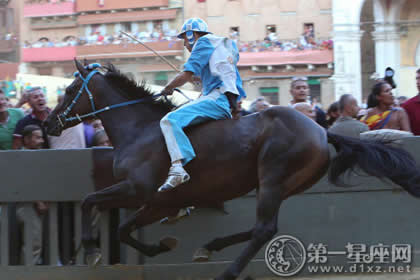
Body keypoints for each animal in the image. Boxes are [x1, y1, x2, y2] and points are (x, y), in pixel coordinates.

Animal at [45, 60, 420, 278]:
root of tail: (321, 129)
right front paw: (161, 246)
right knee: (261, 228)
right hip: (280, 185)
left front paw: (92, 251)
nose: (49, 123)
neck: (141, 129)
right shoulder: (159, 201)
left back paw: (227, 271)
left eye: (70, 88)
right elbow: (124, 229)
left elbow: (89, 201)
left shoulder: (137, 189)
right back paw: (209, 247)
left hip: (273, 177)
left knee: (264, 229)